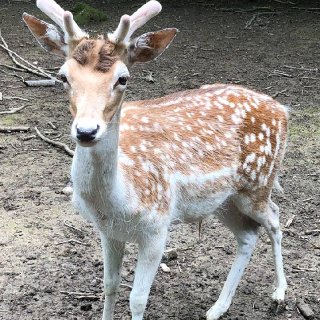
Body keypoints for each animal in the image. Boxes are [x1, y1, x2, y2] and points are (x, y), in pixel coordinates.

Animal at [22, 1, 288, 318]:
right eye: (63, 76)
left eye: (122, 78)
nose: (86, 131)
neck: (119, 200)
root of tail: (283, 110)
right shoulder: (108, 232)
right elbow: (109, 285)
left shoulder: (157, 227)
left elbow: (137, 298)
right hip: (222, 200)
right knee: (248, 235)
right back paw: (217, 308)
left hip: (257, 185)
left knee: (275, 218)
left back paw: (280, 292)